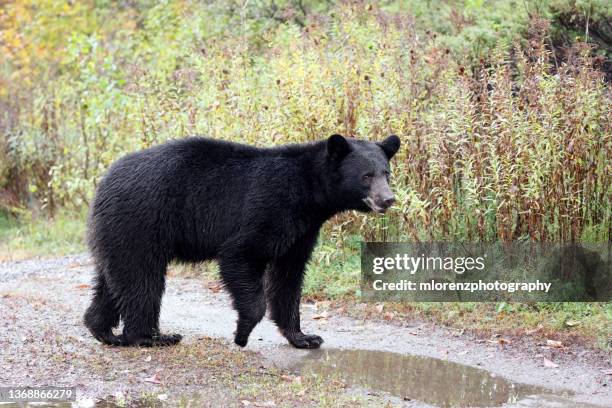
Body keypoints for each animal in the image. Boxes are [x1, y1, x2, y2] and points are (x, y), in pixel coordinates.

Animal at [85, 134, 402, 348]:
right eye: (366, 175)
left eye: (386, 173)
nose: (388, 199)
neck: (309, 193)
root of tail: (104, 183)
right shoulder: (269, 209)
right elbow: (241, 254)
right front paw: (242, 333)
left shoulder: (302, 231)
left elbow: (289, 277)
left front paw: (304, 336)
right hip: (142, 222)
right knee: (142, 280)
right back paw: (151, 337)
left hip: (119, 232)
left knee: (113, 281)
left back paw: (103, 331)